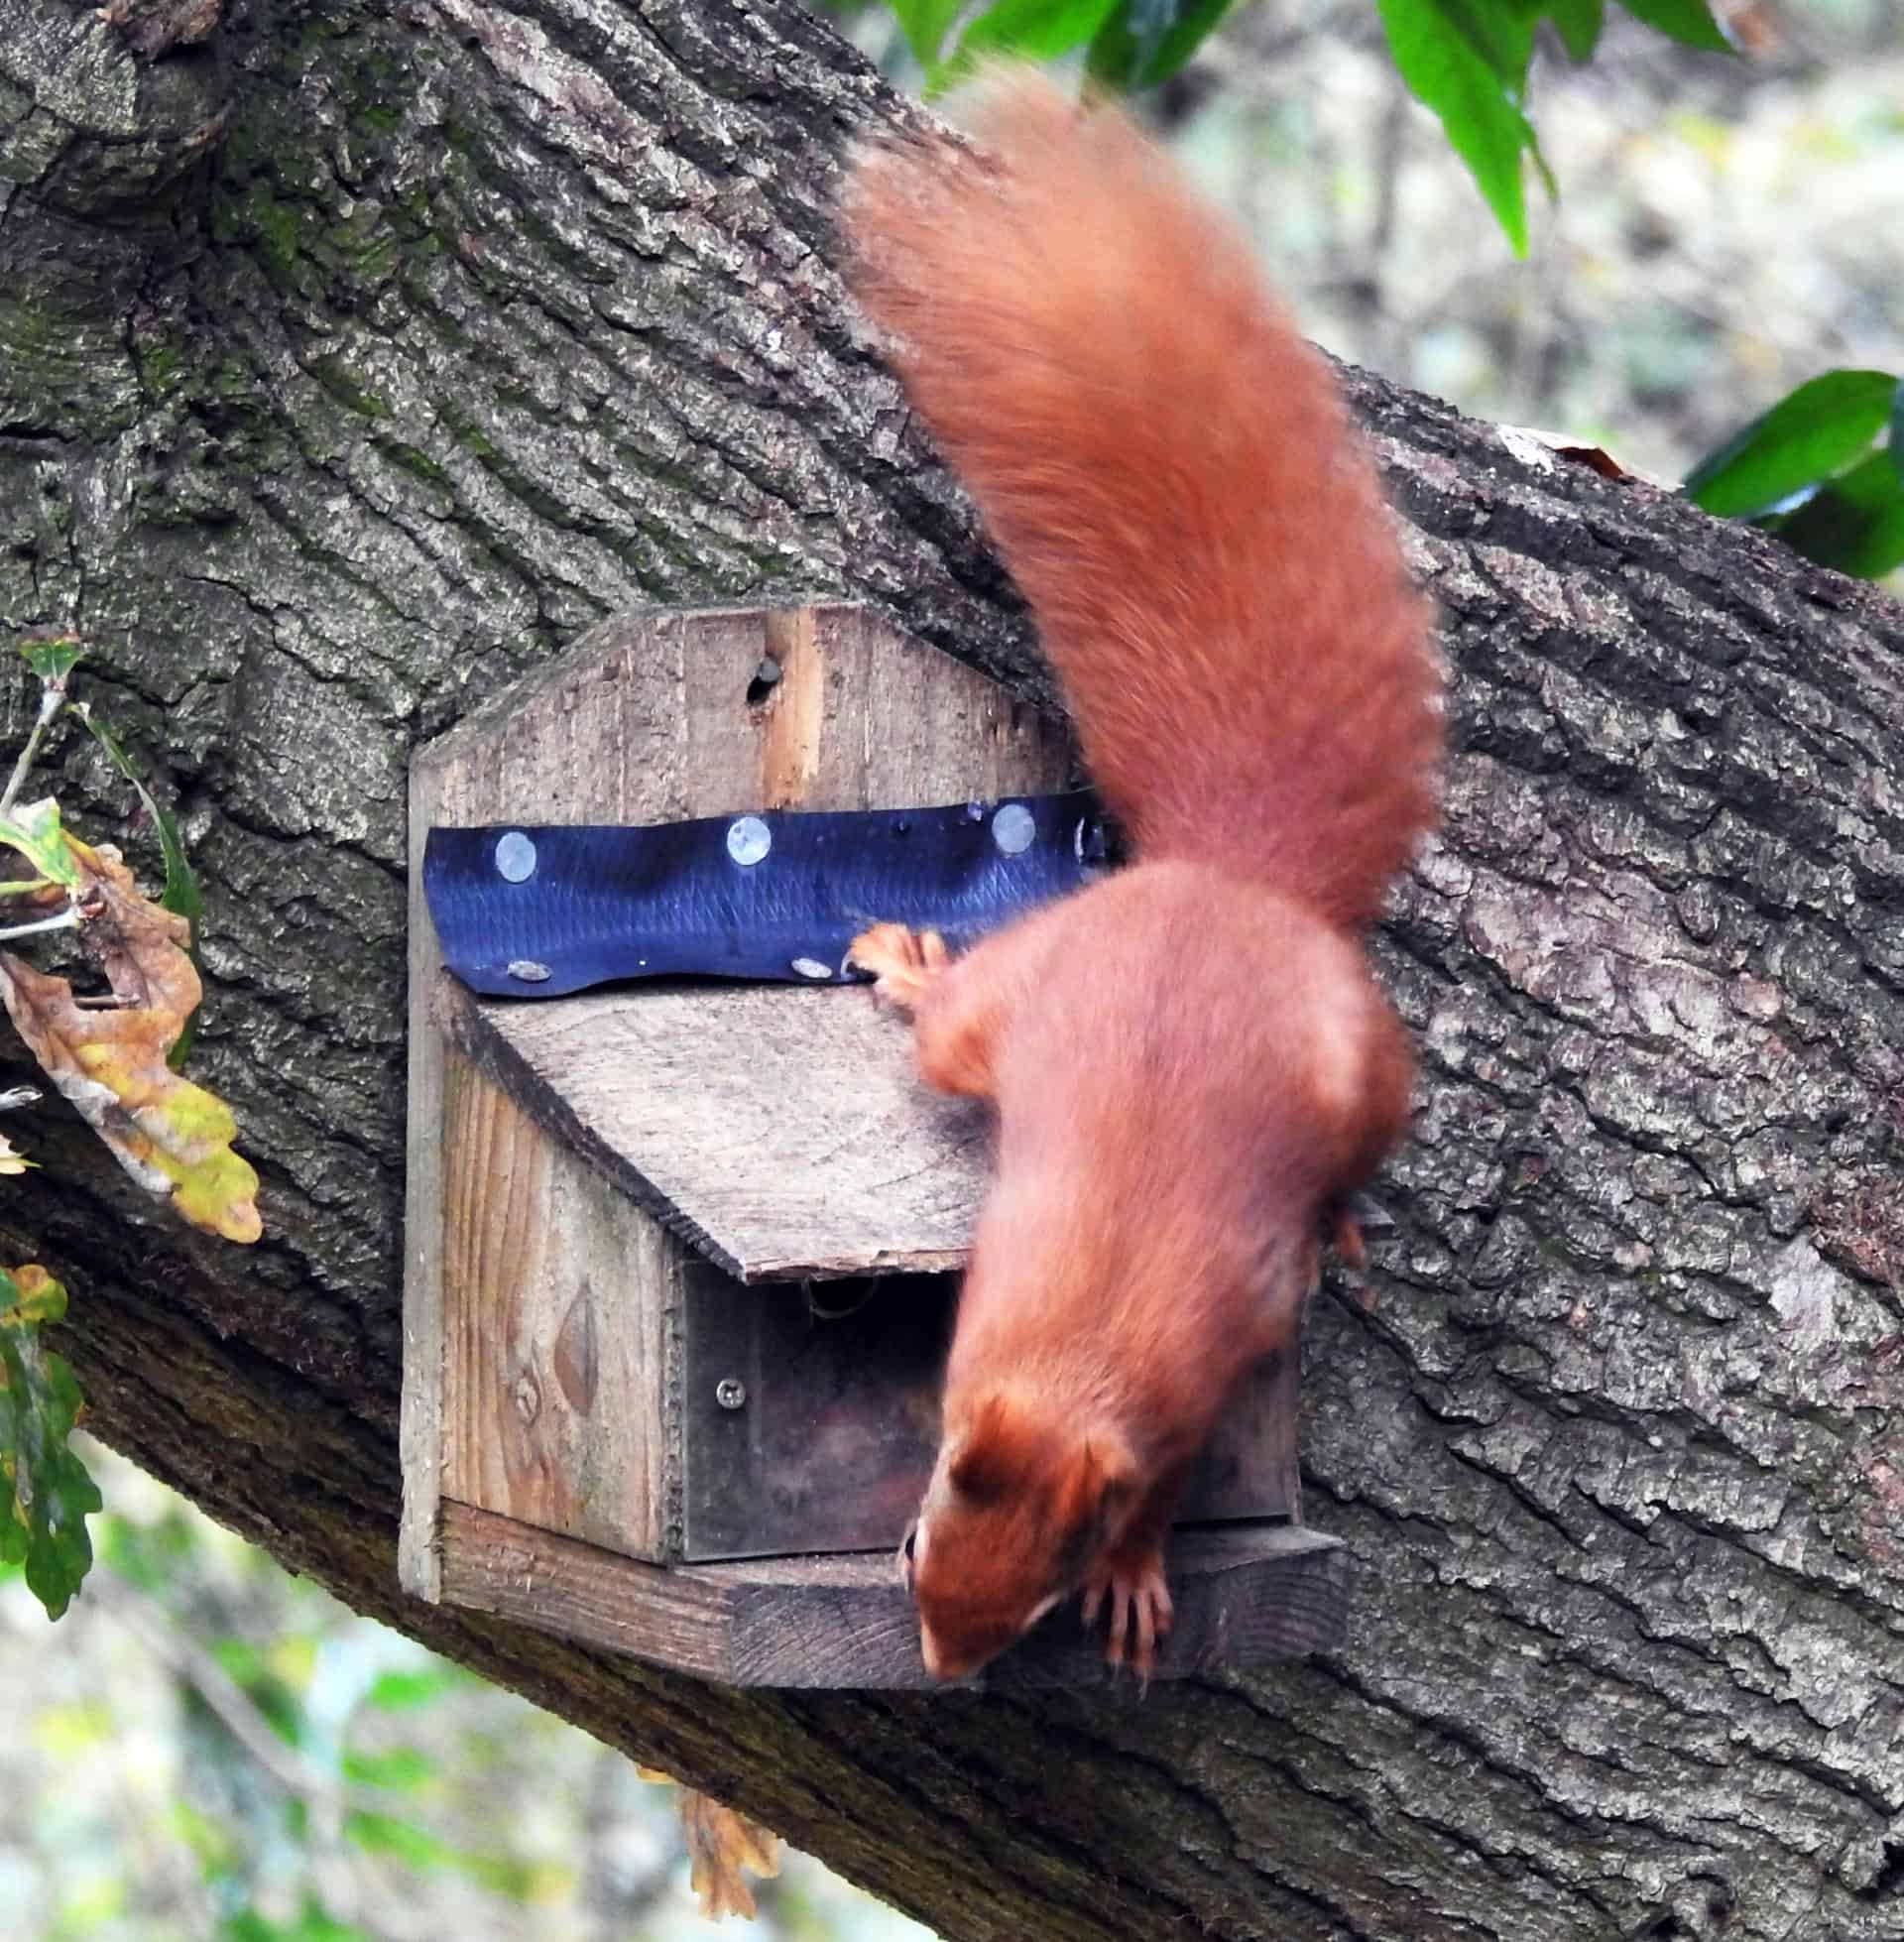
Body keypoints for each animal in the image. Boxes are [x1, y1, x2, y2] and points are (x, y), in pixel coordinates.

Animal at [840, 75, 1443, 1682]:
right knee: (950, 1026)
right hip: (1014, 1009)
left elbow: (1174, 1477)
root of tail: (1225, 881)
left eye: (1035, 1594)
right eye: (914, 1544)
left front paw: (1138, 1568)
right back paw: (910, 964)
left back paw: (1344, 1214)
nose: (943, 1664)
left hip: (1359, 1066)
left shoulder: (1211, 1366)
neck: (1082, 1346)